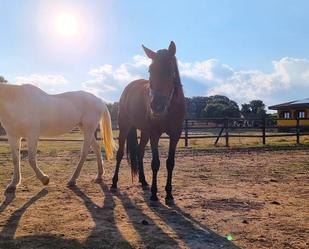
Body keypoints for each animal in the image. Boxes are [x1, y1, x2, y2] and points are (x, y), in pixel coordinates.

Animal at [111, 41, 185, 204]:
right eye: (150, 70)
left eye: (170, 70)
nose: (157, 106)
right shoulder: (155, 134)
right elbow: (155, 163)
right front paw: (154, 194)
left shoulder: (175, 135)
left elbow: (170, 163)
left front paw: (169, 194)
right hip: (125, 127)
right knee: (120, 153)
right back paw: (114, 183)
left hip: (144, 132)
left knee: (139, 151)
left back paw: (144, 181)